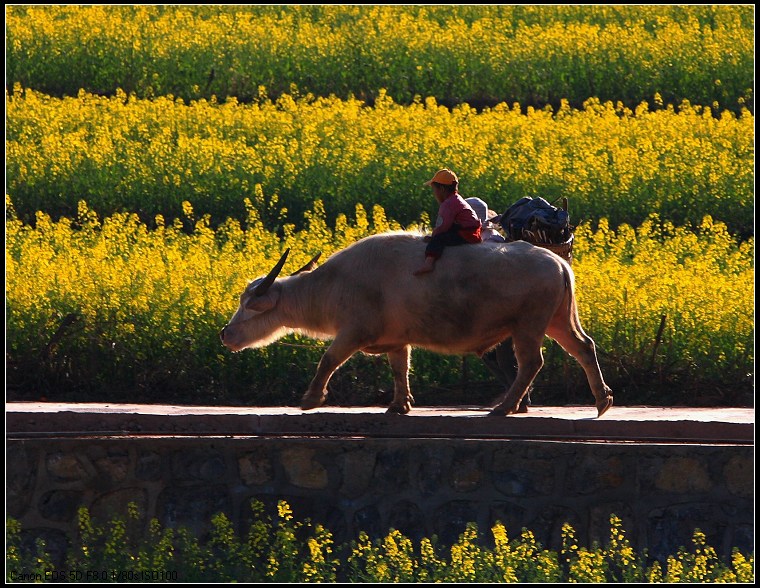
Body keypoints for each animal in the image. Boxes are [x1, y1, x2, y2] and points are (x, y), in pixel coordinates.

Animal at [220, 231, 612, 418]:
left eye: (250, 307)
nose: (225, 334)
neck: (335, 284)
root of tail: (559, 264)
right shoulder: (396, 340)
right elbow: (399, 369)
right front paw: (400, 404)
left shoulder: (354, 332)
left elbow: (328, 359)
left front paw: (310, 399)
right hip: (558, 320)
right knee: (584, 347)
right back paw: (602, 400)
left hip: (528, 326)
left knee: (531, 362)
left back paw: (504, 407)